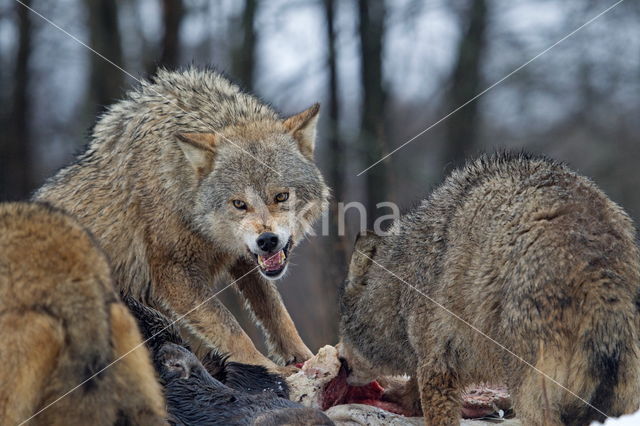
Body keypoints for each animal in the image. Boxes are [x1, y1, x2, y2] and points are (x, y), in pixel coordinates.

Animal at [33, 66, 330, 372]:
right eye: (239, 204)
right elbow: (230, 328)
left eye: (281, 196)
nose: (267, 240)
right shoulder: (173, 274)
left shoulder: (243, 259)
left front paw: (305, 357)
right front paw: (265, 369)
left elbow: (277, 313)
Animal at [338, 153, 640, 426]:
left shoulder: (437, 361)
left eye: (342, 325)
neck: (402, 282)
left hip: (531, 393)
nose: (341, 361)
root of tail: (600, 270)